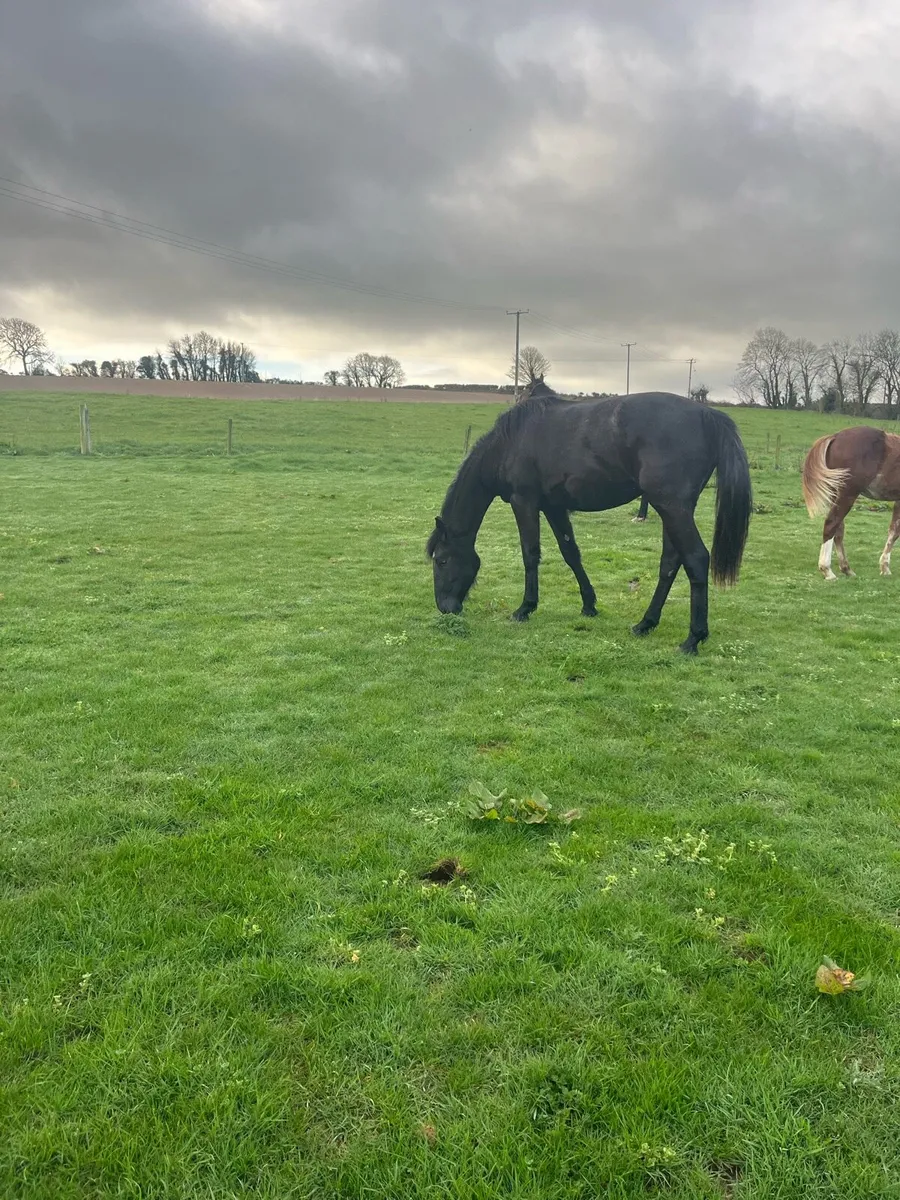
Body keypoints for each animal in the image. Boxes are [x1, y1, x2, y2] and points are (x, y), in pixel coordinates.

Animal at [426, 379, 752, 654]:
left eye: (441, 560)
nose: (445, 608)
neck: (510, 442)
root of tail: (710, 416)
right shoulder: (554, 507)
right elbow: (571, 553)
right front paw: (589, 605)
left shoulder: (524, 502)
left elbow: (530, 554)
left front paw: (525, 608)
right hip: (674, 510)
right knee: (671, 562)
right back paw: (645, 623)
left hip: (672, 508)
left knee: (695, 559)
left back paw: (693, 638)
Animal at [802, 425, 900, 579]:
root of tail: (835, 437)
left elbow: (894, 531)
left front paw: (884, 567)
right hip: (848, 495)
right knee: (831, 524)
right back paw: (827, 570)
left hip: (836, 495)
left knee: (838, 530)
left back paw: (846, 569)